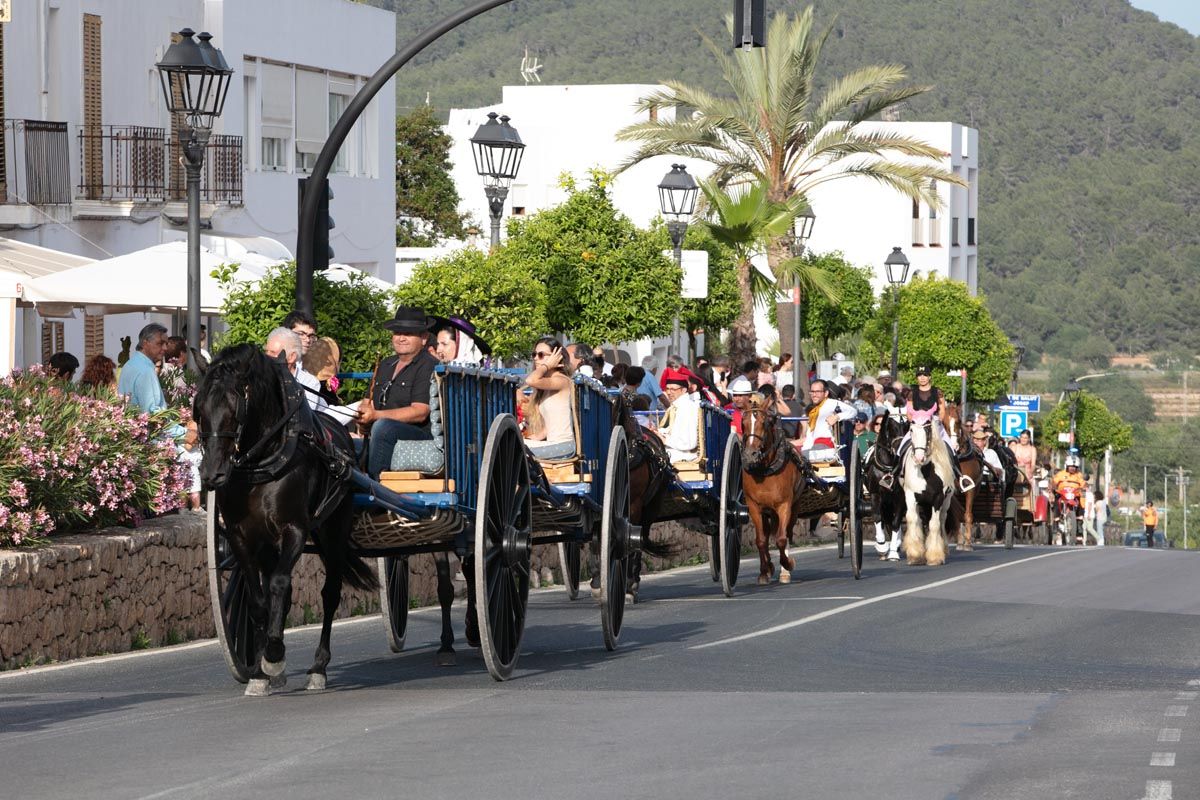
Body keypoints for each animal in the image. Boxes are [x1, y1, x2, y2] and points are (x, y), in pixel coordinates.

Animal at [194, 345, 376, 695]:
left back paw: (318, 667)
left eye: (236, 408)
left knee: (329, 593)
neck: (262, 462)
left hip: (333, 531)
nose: (211, 474)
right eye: (198, 409)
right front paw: (260, 670)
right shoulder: (240, 537)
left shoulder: (294, 529)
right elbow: (258, 599)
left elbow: (280, 584)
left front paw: (275, 654)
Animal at [739, 398, 806, 585]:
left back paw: (784, 569)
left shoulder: (784, 505)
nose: (751, 454)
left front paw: (787, 564)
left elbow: (782, 539)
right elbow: (761, 540)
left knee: (786, 532)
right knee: (768, 533)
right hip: (767, 512)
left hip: (794, 507)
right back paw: (769, 567)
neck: (765, 469)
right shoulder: (754, 507)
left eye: (765, 422)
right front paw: (764, 571)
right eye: (743, 423)